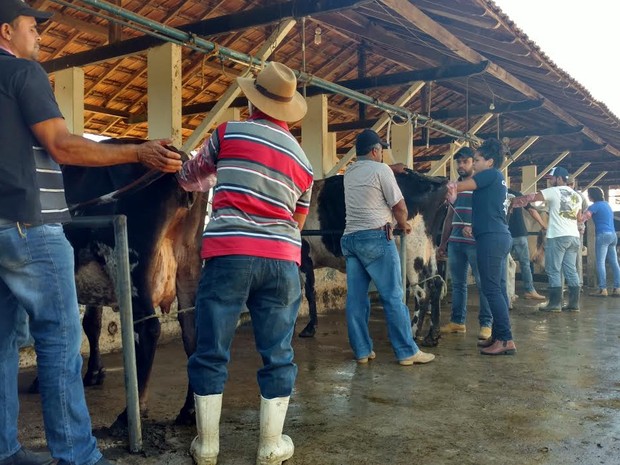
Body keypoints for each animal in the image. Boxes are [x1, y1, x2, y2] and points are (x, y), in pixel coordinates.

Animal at [300, 169, 446, 346]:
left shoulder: (304, 256)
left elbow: (309, 292)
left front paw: (309, 328)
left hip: (413, 249)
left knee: (423, 291)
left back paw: (413, 332)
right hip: (429, 247)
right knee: (436, 283)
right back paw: (433, 335)